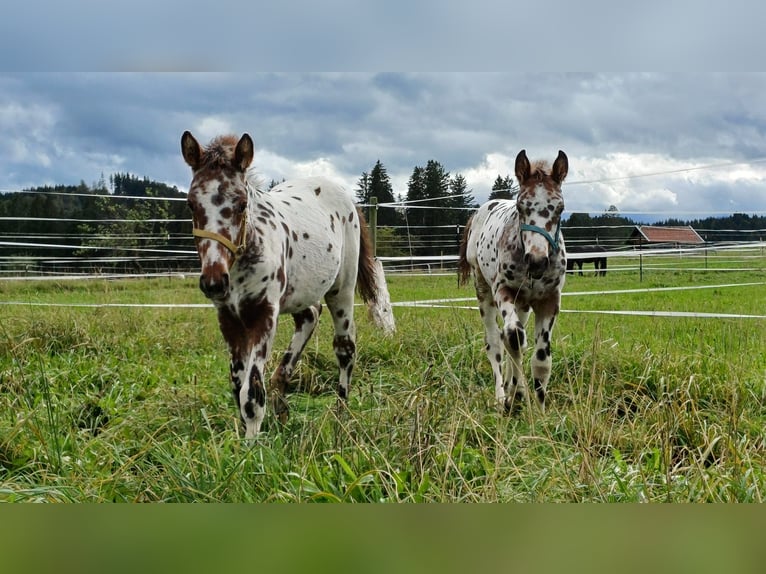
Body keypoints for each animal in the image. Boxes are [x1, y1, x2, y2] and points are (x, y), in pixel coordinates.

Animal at [181, 133, 396, 440]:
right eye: (191, 203)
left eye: (241, 203)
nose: (213, 282)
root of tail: (347, 197)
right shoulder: (228, 318)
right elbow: (237, 384)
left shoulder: (264, 314)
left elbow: (251, 392)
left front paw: (251, 446)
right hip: (299, 293)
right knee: (310, 316)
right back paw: (282, 402)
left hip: (341, 290)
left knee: (345, 348)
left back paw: (340, 417)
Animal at [456, 150, 568, 414]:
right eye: (521, 206)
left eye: (560, 208)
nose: (537, 261)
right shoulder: (503, 290)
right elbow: (513, 338)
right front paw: (515, 396)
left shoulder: (549, 300)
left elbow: (541, 358)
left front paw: (539, 407)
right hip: (484, 291)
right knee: (497, 342)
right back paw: (501, 396)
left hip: (523, 304)